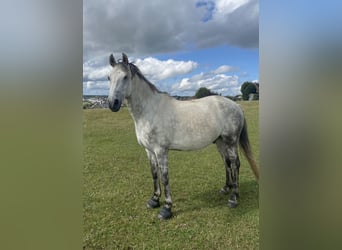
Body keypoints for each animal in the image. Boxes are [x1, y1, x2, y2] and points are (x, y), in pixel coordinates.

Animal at [108, 52, 258, 219]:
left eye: (125, 77)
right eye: (109, 77)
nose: (112, 103)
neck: (150, 110)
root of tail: (235, 105)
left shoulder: (161, 151)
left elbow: (164, 177)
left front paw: (166, 208)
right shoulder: (149, 151)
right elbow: (154, 174)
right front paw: (154, 200)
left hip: (231, 141)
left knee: (235, 164)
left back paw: (233, 198)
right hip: (220, 142)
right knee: (227, 163)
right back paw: (226, 189)